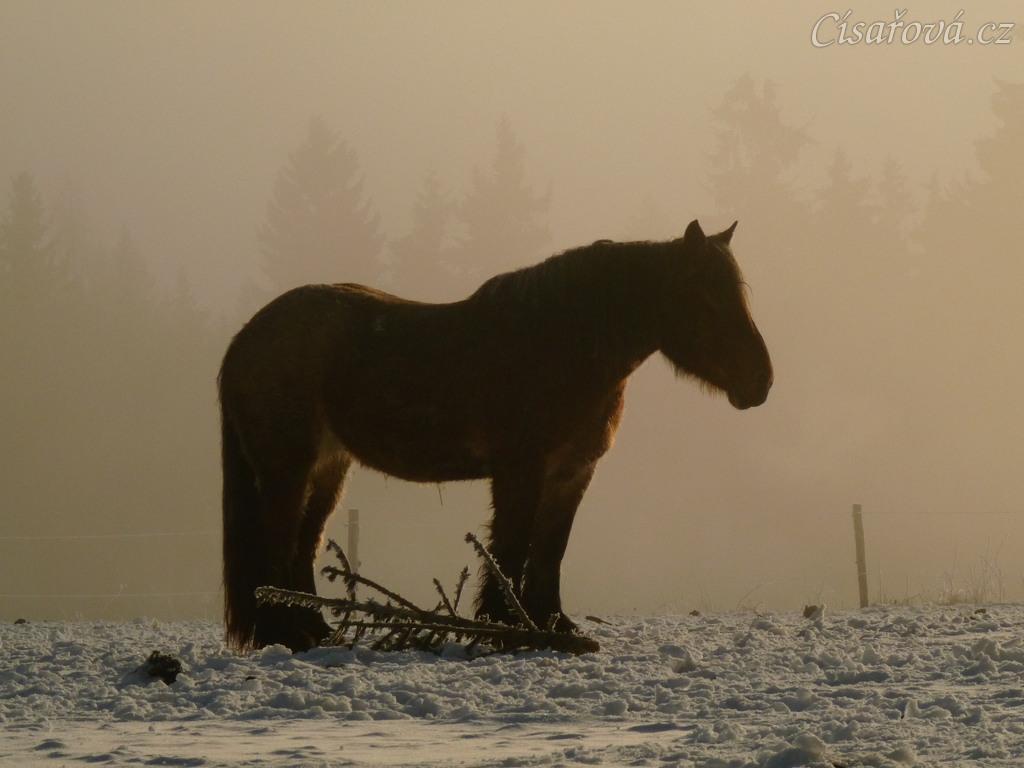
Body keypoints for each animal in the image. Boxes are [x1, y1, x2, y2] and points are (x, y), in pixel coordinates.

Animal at [219, 219, 772, 652]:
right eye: (706, 299)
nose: (761, 381)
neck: (561, 341)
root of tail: (247, 336)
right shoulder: (520, 470)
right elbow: (511, 546)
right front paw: (506, 626)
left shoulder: (572, 473)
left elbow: (549, 550)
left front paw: (555, 626)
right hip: (287, 470)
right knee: (278, 544)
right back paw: (287, 633)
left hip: (327, 470)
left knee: (302, 546)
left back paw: (314, 630)